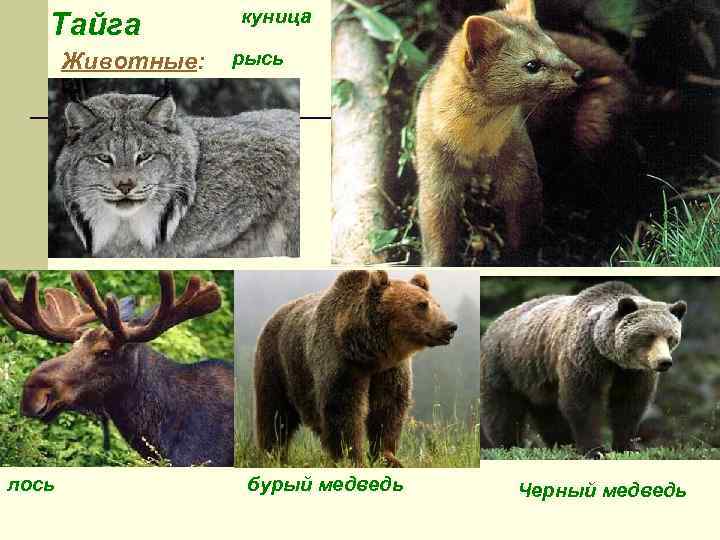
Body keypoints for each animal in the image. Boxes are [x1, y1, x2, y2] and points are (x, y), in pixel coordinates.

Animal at [253, 270, 458, 466]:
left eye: (437, 304)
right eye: (422, 304)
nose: (450, 326)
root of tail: (275, 314)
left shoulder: (389, 370)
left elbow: (388, 408)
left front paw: (388, 457)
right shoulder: (342, 364)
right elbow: (344, 410)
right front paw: (351, 457)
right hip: (277, 365)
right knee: (275, 415)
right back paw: (272, 455)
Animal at [480, 281, 687, 458]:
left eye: (670, 337)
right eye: (649, 336)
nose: (664, 362)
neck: (611, 357)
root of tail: (495, 322)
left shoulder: (634, 372)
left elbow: (629, 404)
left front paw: (627, 447)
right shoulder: (585, 356)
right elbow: (584, 401)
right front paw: (595, 450)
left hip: (539, 380)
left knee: (548, 414)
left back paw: (562, 444)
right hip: (507, 367)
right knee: (503, 411)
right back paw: (508, 446)